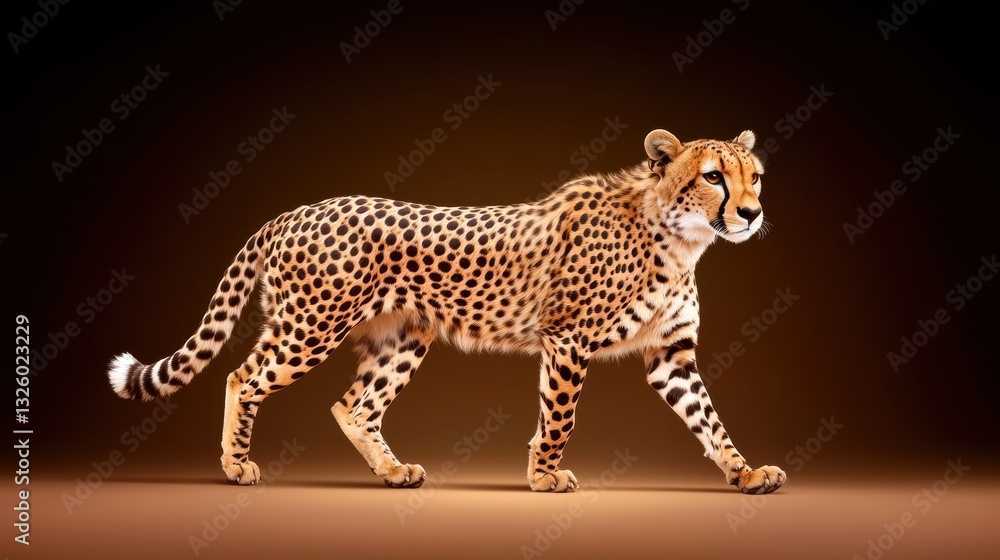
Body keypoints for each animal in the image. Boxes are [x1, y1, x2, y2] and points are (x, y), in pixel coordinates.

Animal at [107, 128, 786, 494]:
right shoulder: (567, 340)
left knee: (353, 406)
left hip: (402, 338)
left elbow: (710, 421)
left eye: (754, 177)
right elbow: (560, 417)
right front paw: (544, 478)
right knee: (241, 376)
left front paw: (745, 473)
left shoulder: (671, 357)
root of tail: (294, 211)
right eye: (713, 177)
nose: (752, 213)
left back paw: (390, 472)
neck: (680, 238)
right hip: (310, 328)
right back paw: (236, 463)